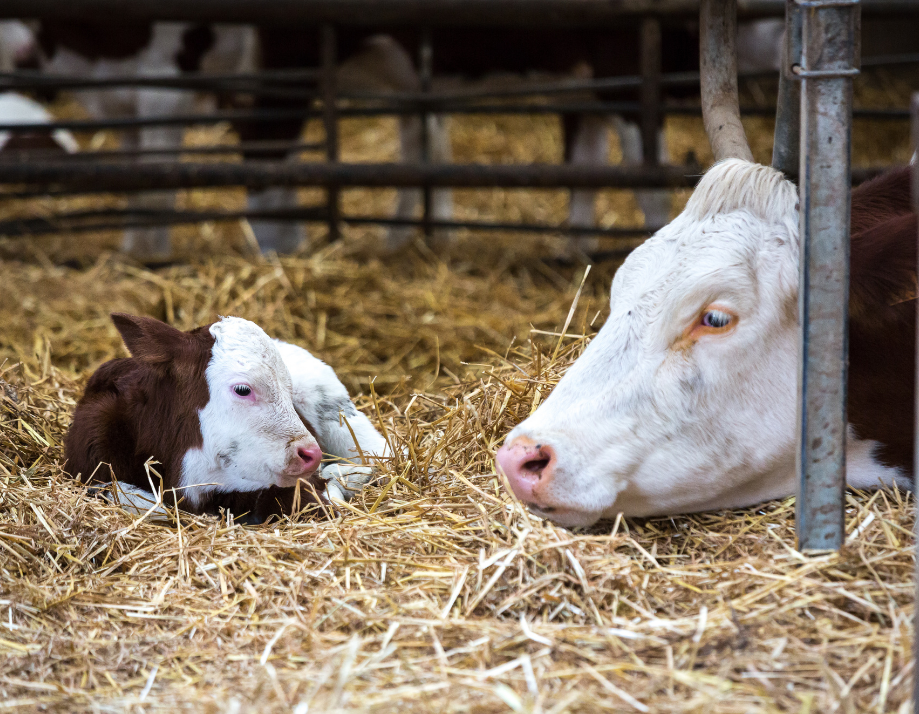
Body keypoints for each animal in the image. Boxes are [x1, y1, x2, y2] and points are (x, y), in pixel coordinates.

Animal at [64, 313, 390, 522]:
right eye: (243, 389)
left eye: (288, 391)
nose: (311, 454)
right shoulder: (87, 462)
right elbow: (132, 498)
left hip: (335, 408)